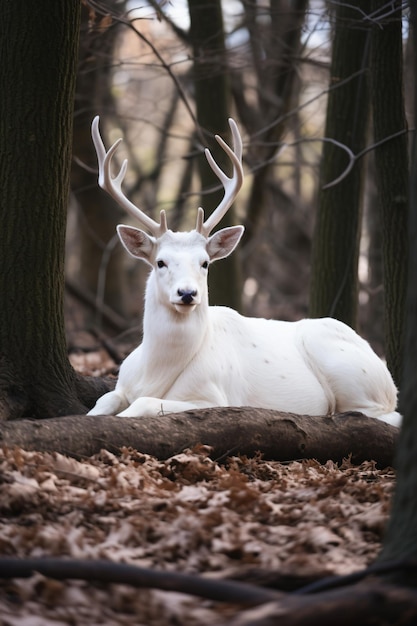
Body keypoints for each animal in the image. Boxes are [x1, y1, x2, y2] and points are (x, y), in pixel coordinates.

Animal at [87, 116, 400, 424]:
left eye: (205, 262)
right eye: (160, 262)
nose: (187, 293)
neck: (155, 372)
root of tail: (388, 378)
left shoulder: (214, 396)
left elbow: (145, 403)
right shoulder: (122, 384)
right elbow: (104, 399)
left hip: (348, 370)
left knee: (382, 414)